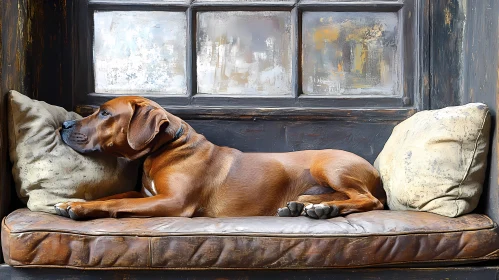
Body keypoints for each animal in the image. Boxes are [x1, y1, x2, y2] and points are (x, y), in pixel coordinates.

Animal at [58, 97, 386, 220]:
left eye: (105, 113)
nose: (64, 125)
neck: (165, 149)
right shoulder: (146, 194)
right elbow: (118, 195)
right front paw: (73, 201)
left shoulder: (173, 202)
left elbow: (117, 203)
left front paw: (80, 207)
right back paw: (308, 205)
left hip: (328, 166)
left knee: (369, 200)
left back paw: (326, 208)